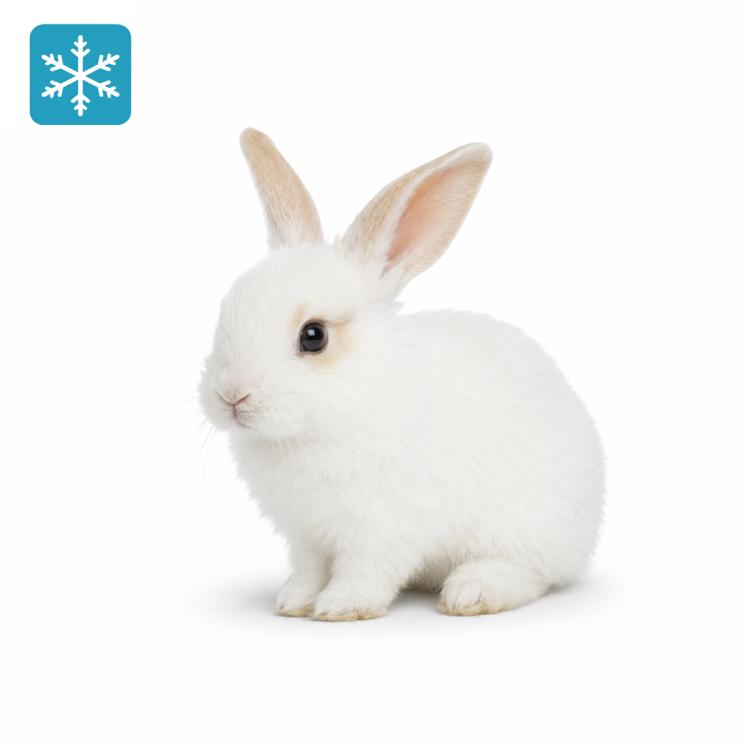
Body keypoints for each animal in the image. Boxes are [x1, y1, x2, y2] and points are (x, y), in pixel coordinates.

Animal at [199, 128, 605, 621]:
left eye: (313, 336)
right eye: (225, 313)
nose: (231, 397)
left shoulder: (381, 531)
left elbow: (365, 572)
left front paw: (340, 607)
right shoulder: (307, 537)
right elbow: (308, 571)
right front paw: (293, 603)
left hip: (528, 531)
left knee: (533, 573)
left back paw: (472, 591)